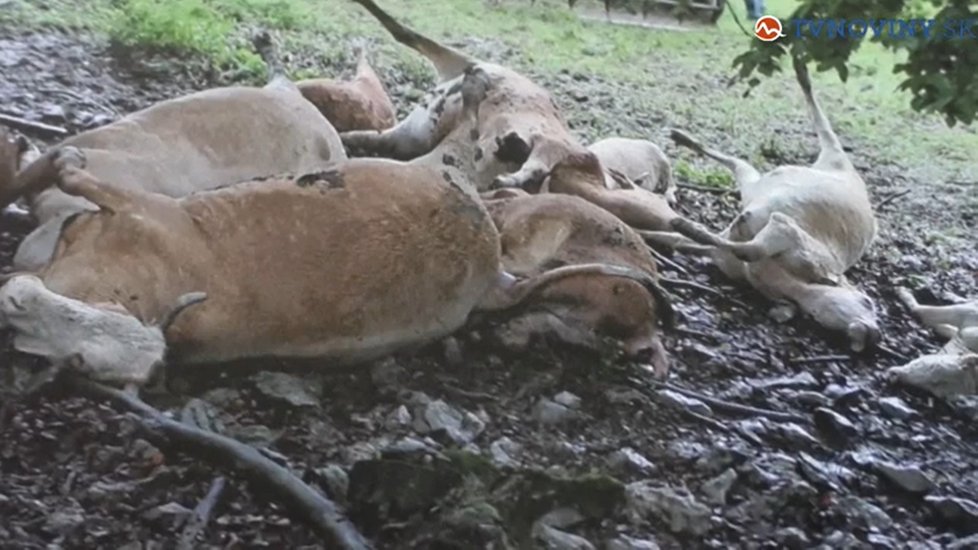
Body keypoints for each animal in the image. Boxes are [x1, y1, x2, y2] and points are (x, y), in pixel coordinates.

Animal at [644, 57, 880, 354]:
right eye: (867, 301)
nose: (875, 335)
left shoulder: (727, 256)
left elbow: (680, 240)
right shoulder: (794, 237)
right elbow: (752, 248)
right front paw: (684, 225)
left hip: (755, 185)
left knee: (739, 166)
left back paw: (685, 141)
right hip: (834, 157)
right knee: (825, 129)